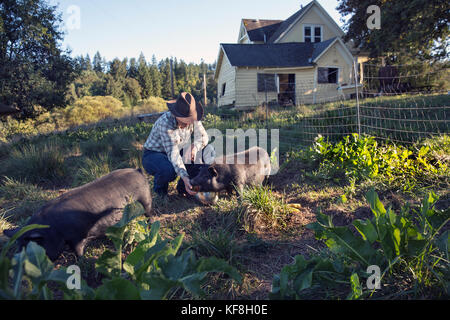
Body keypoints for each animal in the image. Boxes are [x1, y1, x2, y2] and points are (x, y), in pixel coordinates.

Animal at [2, 168, 152, 260]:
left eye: (30, 248)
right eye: (18, 247)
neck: (53, 229)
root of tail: (137, 170)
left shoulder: (78, 237)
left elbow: (78, 250)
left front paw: (81, 259)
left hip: (146, 200)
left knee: (149, 214)